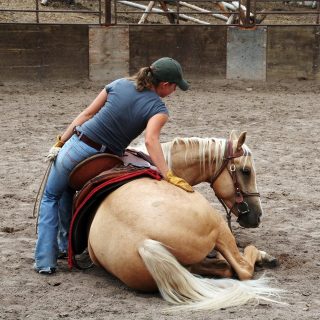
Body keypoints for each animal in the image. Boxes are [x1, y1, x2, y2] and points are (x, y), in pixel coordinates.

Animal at [83, 131, 282, 312]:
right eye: (246, 171)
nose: (257, 215)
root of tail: (143, 243)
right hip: (219, 226)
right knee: (242, 268)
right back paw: (262, 256)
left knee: (224, 268)